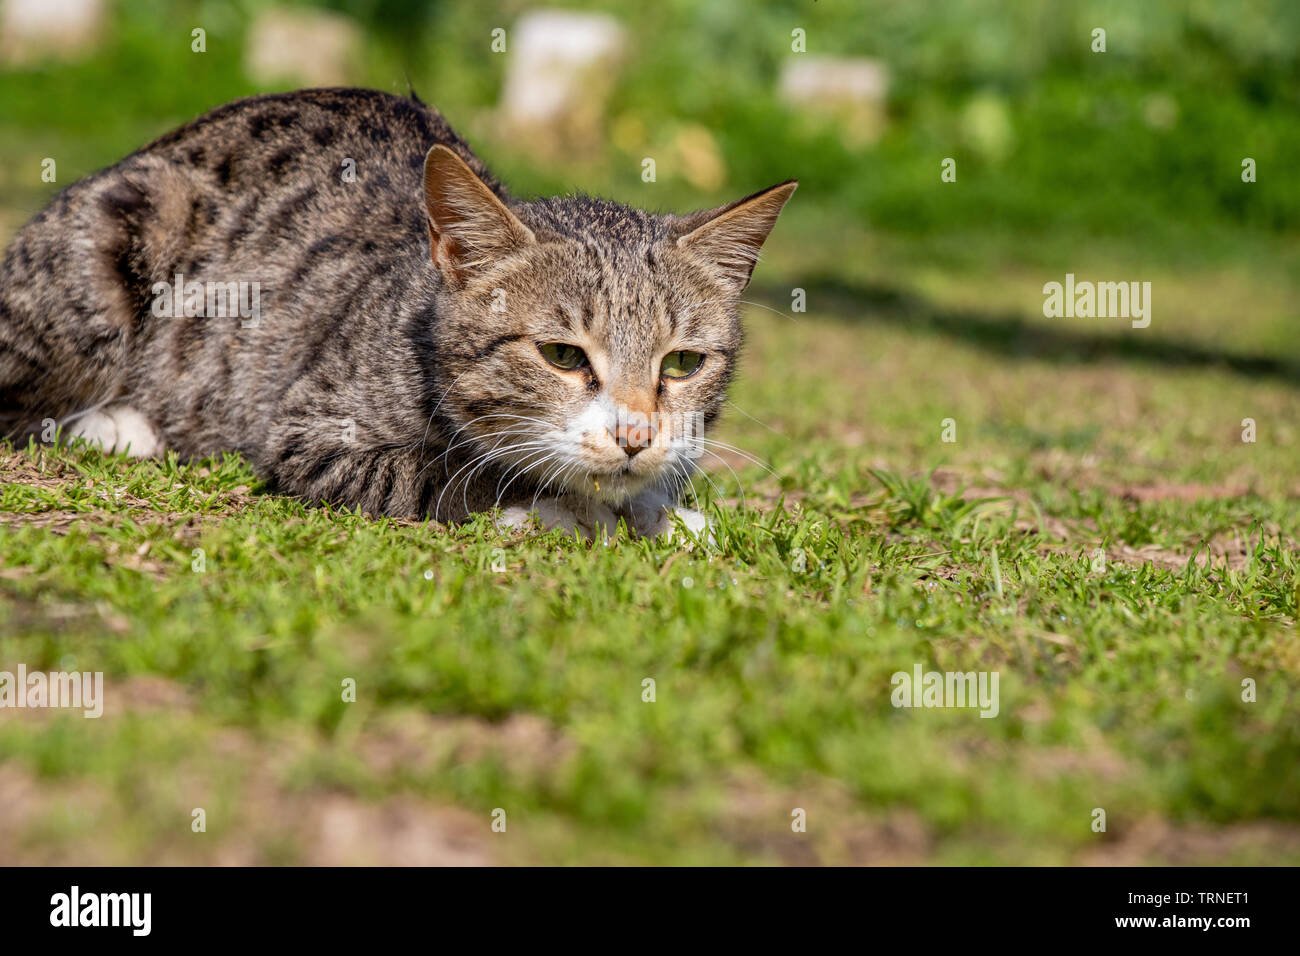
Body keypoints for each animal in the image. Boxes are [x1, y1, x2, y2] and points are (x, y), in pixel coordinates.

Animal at [0, 87, 790, 538]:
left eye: (682, 363)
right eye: (562, 356)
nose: (634, 433)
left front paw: (659, 502)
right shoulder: (309, 431)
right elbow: (447, 473)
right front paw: (556, 504)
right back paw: (116, 424)